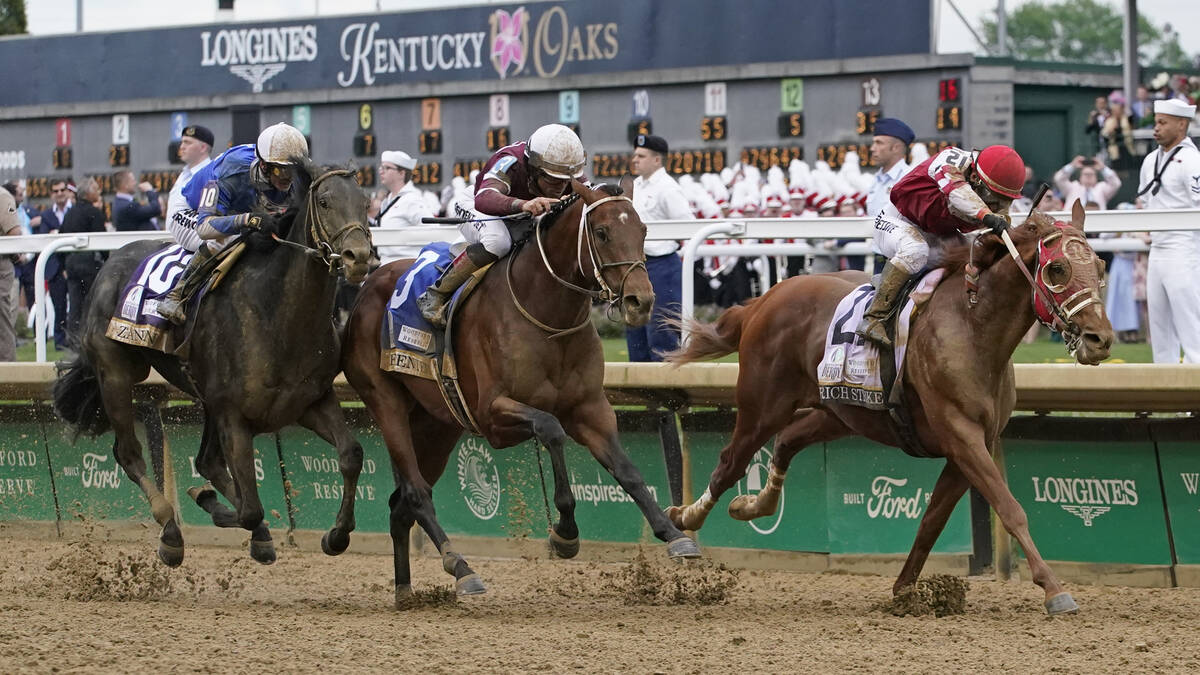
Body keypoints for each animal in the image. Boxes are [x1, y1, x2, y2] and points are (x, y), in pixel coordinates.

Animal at [54, 159, 372, 564]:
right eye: (326, 201)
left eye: (365, 202)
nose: (358, 258)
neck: (277, 314)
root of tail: (107, 268)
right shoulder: (233, 416)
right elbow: (250, 508)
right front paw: (212, 505)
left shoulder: (309, 401)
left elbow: (351, 454)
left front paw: (337, 534)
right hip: (116, 373)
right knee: (129, 453)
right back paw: (171, 532)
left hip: (205, 398)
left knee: (207, 462)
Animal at [340, 178, 700, 605]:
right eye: (602, 232)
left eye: (644, 231)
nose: (640, 301)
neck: (546, 315)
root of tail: (368, 285)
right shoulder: (493, 414)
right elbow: (551, 429)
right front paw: (565, 532)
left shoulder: (590, 409)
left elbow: (628, 472)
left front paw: (675, 535)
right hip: (386, 401)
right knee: (415, 494)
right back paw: (461, 569)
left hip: (436, 424)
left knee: (400, 506)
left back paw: (405, 591)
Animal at [662, 200, 1108, 614]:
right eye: (1057, 269)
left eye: (1100, 266)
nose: (1100, 339)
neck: (973, 325)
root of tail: (763, 300)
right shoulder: (961, 434)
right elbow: (1010, 509)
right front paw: (1055, 590)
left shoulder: (971, 444)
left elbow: (932, 520)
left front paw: (905, 591)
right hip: (763, 404)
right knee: (731, 461)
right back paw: (686, 519)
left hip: (839, 413)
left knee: (787, 440)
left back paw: (753, 505)